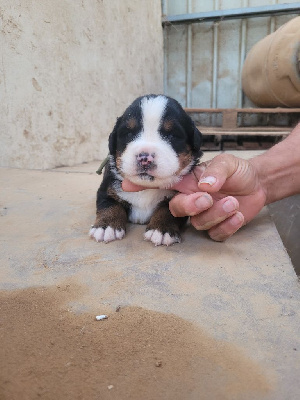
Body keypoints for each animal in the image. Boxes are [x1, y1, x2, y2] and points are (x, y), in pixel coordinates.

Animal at [88, 95, 202, 245]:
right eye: (129, 133)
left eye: (172, 135)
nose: (144, 157)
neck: (146, 188)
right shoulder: (107, 186)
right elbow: (109, 204)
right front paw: (106, 226)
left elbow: (168, 210)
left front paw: (161, 229)